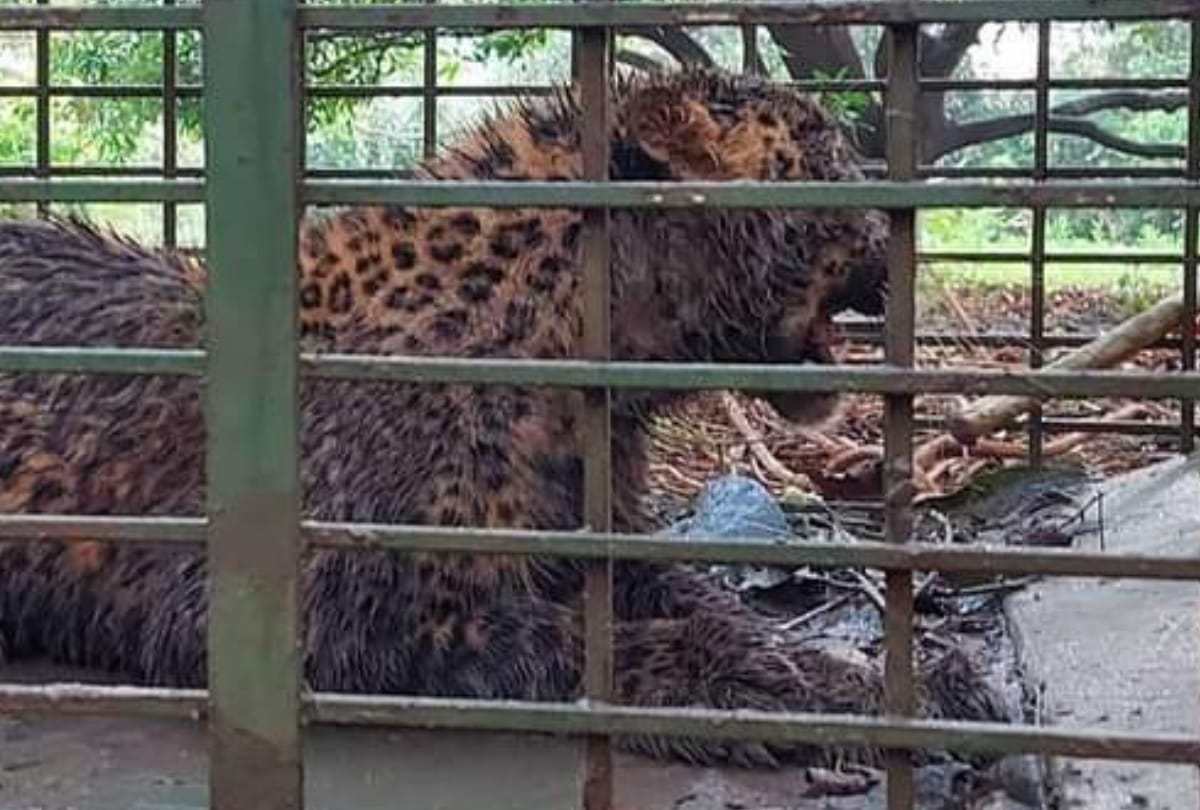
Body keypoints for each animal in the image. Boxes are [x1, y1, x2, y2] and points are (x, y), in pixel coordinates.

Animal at [0, 68, 1007, 770]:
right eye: (828, 148)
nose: (911, 234)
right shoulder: (329, 615)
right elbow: (575, 646)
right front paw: (750, 686)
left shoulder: (593, 538)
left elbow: (707, 600)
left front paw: (894, 685)